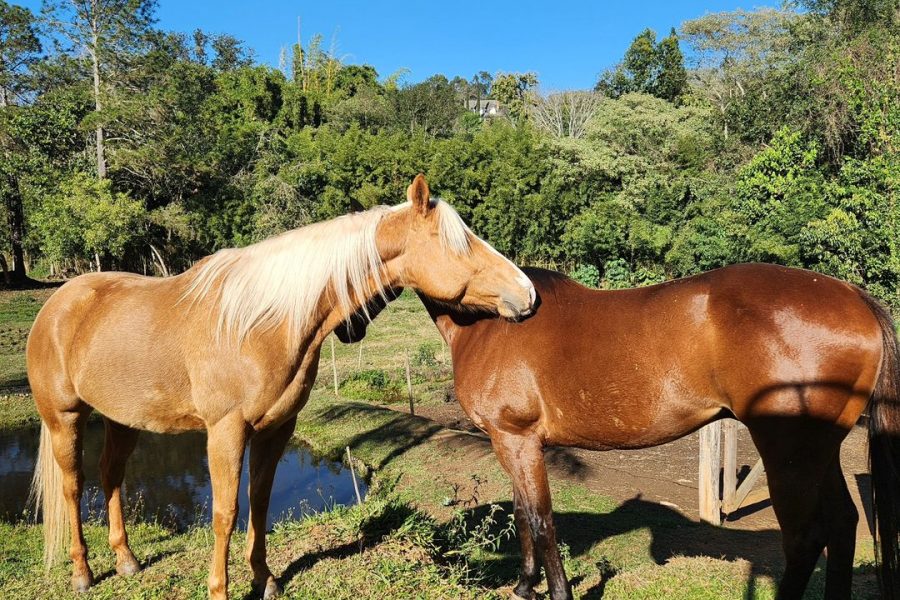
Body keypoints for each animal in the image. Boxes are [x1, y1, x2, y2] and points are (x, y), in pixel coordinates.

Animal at [26, 175, 536, 600]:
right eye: (459, 243)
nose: (528, 293)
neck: (262, 324)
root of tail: (57, 304)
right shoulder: (225, 432)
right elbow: (225, 512)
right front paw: (220, 590)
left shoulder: (276, 429)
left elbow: (260, 502)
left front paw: (265, 579)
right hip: (65, 419)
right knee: (74, 487)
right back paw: (83, 573)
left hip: (122, 420)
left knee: (111, 477)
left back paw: (127, 560)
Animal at [416, 268, 900, 600]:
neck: (486, 325)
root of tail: (854, 296)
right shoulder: (516, 443)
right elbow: (523, 515)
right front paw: (522, 586)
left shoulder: (514, 439)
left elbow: (539, 520)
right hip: (821, 452)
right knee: (843, 524)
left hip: (789, 455)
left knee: (805, 539)